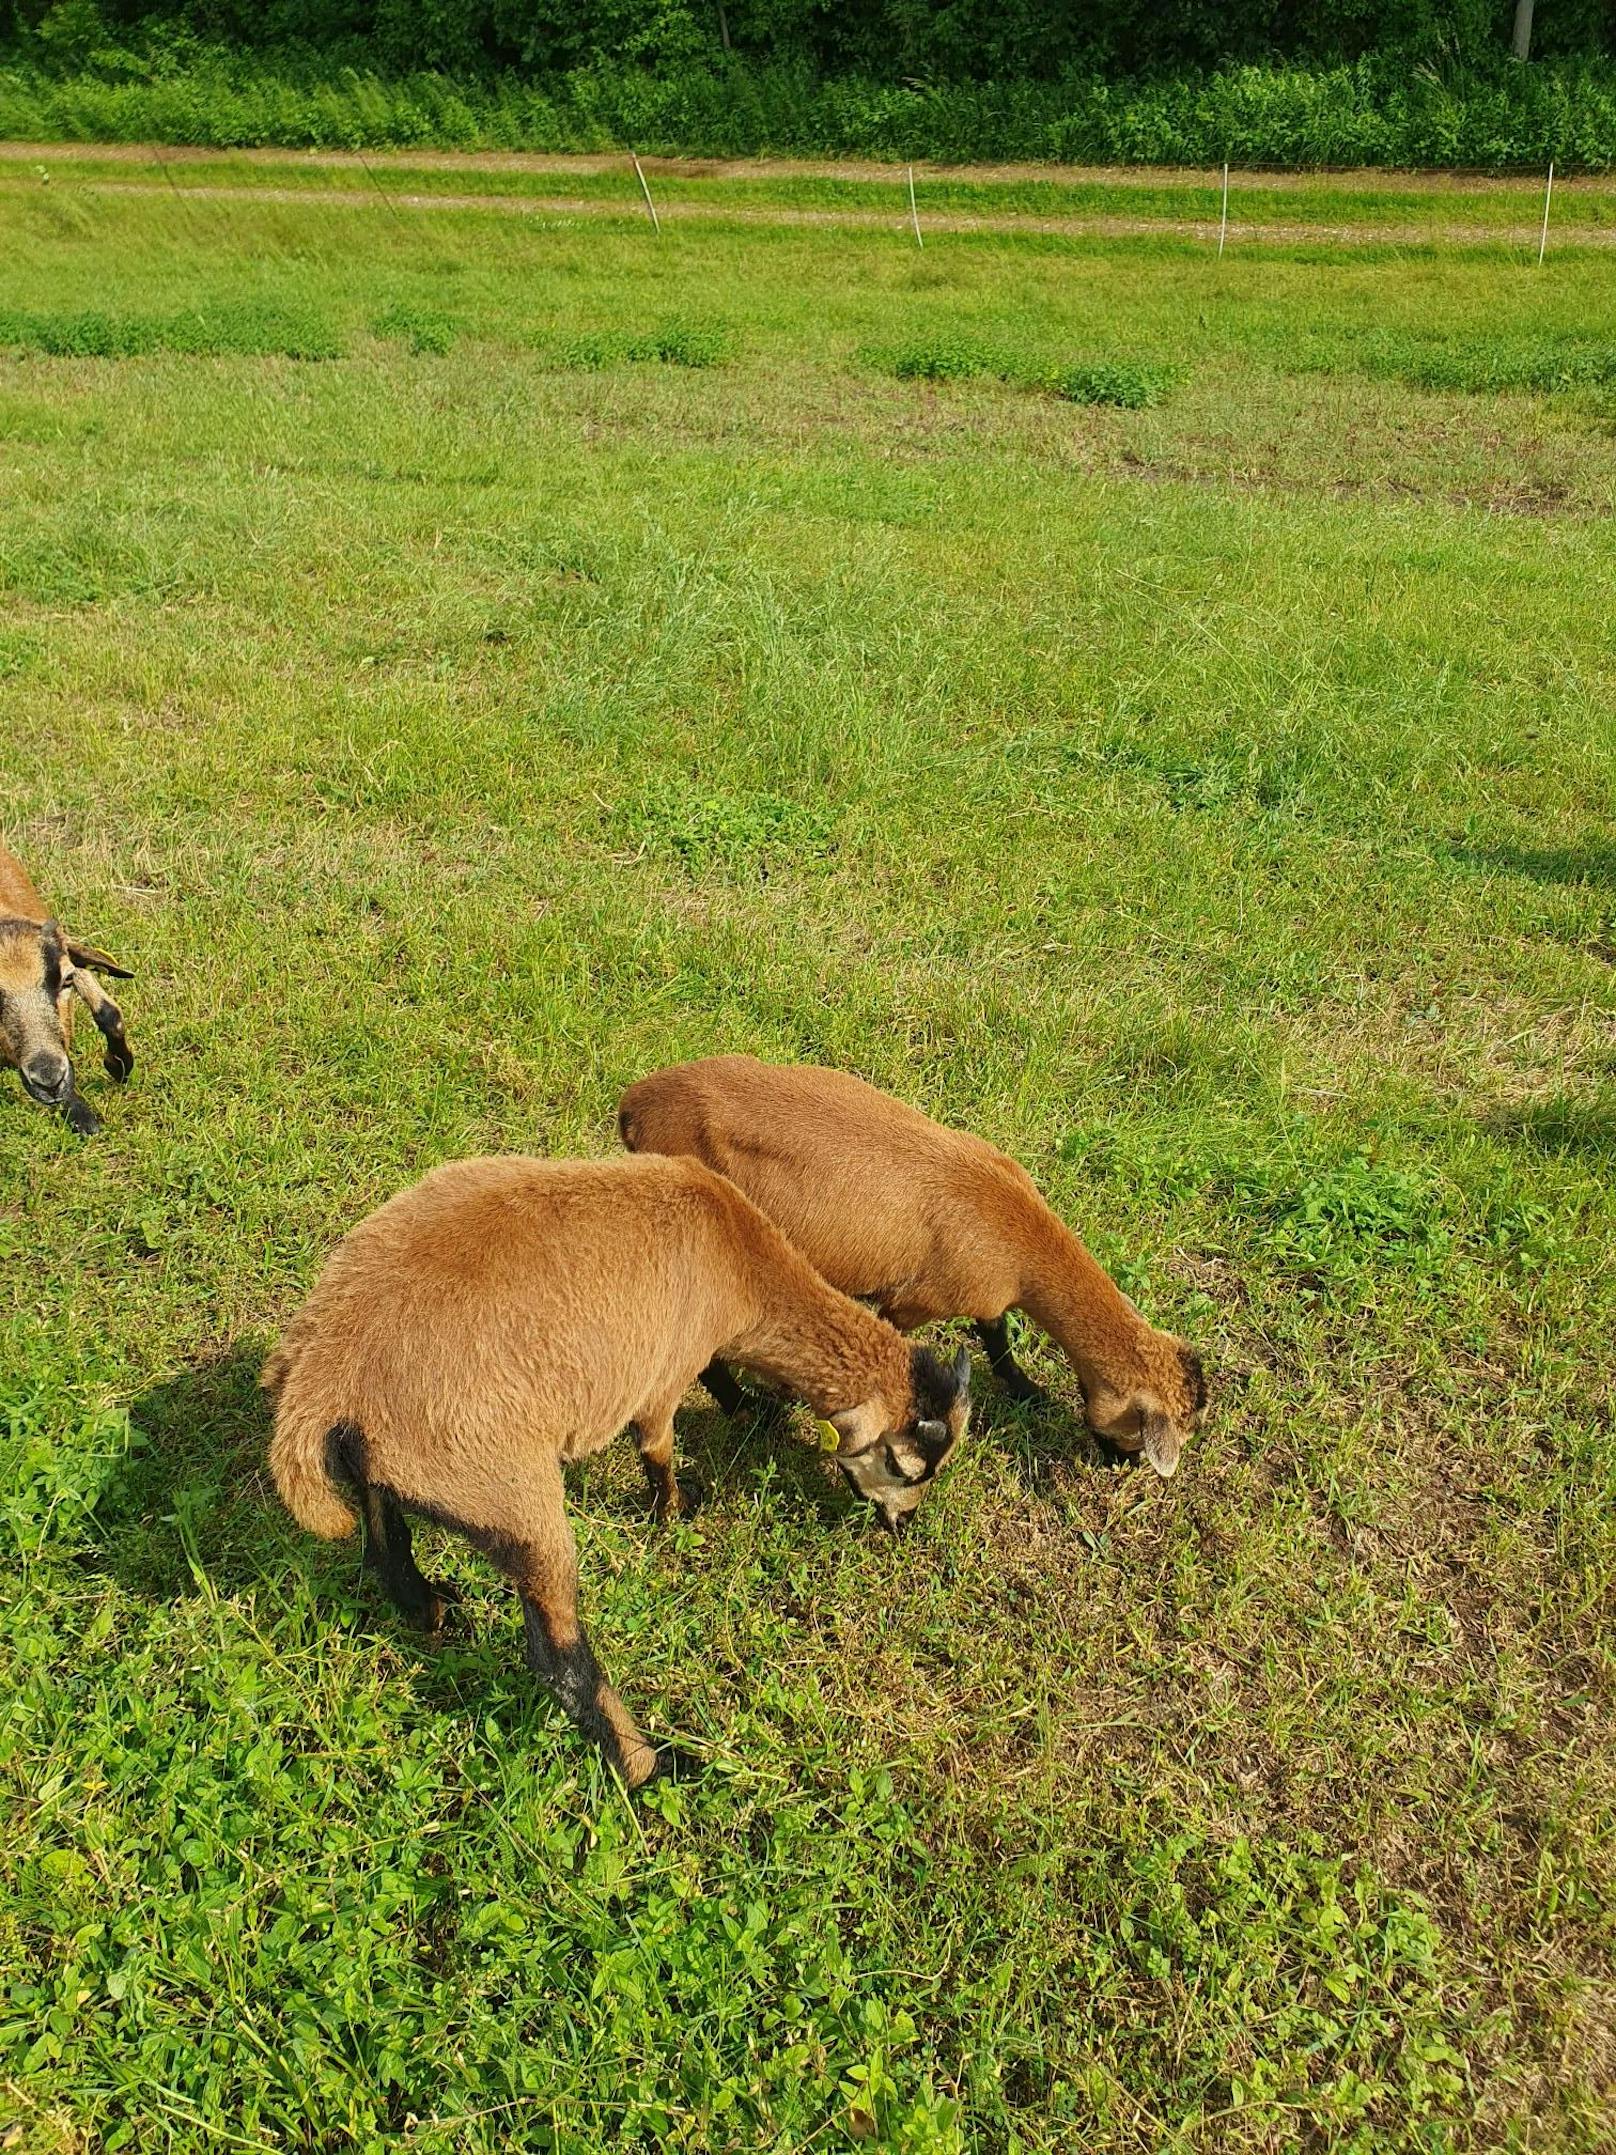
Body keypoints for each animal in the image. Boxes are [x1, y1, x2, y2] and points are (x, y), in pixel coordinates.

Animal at [267, 1155, 973, 1792]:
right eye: (905, 1465)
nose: (901, 1525)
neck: (741, 1260)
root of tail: (325, 1378)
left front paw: (755, 1411)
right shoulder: (660, 1381)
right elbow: (658, 1450)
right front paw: (677, 1508)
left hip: (393, 1470)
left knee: (386, 1545)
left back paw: (433, 1609)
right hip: (506, 1491)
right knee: (556, 1656)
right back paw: (650, 1765)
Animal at [620, 1060, 1206, 1482]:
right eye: (1141, 1433)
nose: (1119, 1466)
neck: (1017, 1238)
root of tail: (634, 1106)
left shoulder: (985, 1298)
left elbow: (997, 1337)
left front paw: (1026, 1389)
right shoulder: (913, 1302)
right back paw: (747, 1410)